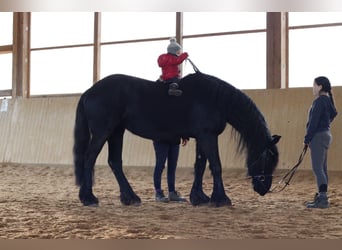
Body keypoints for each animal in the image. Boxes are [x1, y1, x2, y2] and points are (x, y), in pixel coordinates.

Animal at [73, 72, 280, 207]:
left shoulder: (202, 137)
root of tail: (89, 91)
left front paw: (199, 198)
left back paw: (130, 198)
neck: (214, 99)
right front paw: (221, 199)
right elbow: (215, 166)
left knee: (115, 162)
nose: (264, 188)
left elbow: (200, 166)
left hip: (117, 131)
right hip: (103, 132)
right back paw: (88, 198)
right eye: (267, 160)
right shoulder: (208, 136)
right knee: (89, 159)